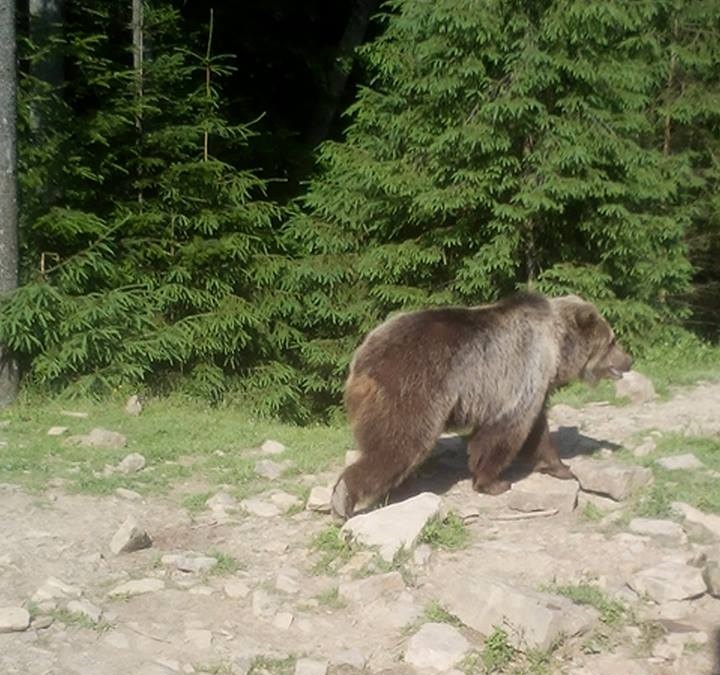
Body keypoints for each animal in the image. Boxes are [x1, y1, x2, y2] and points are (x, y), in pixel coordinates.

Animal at [330, 290, 632, 516]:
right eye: (612, 340)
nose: (629, 360)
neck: (556, 348)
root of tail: (361, 358)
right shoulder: (519, 376)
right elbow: (505, 432)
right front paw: (494, 482)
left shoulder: (533, 386)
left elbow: (538, 430)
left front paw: (560, 468)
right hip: (414, 387)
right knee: (399, 444)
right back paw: (344, 498)